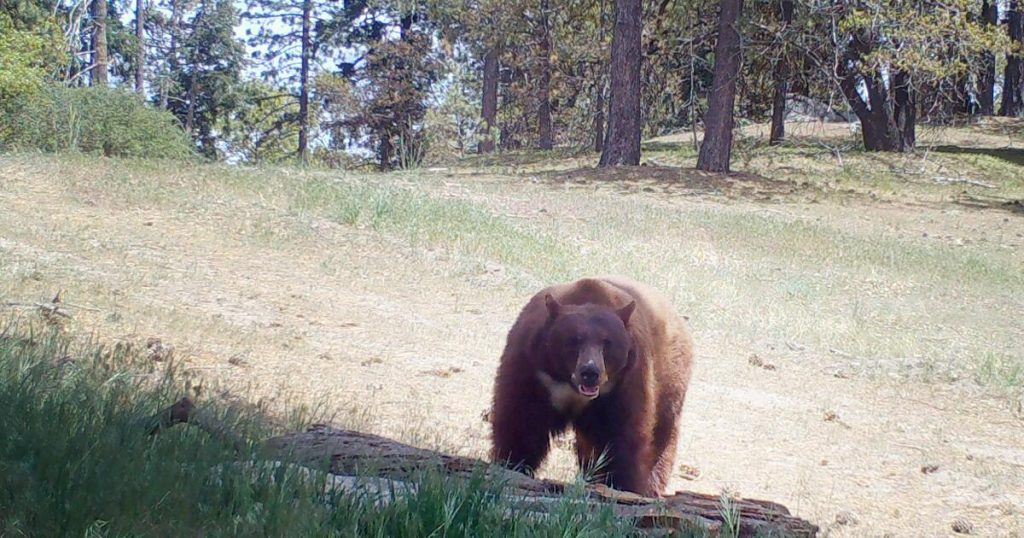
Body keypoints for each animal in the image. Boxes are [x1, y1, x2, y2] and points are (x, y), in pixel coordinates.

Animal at [490, 275, 694, 497]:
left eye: (607, 343)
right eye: (574, 340)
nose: (590, 373)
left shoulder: (624, 383)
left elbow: (622, 437)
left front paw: (622, 485)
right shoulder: (531, 370)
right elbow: (520, 421)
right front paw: (512, 465)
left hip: (670, 383)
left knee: (661, 437)